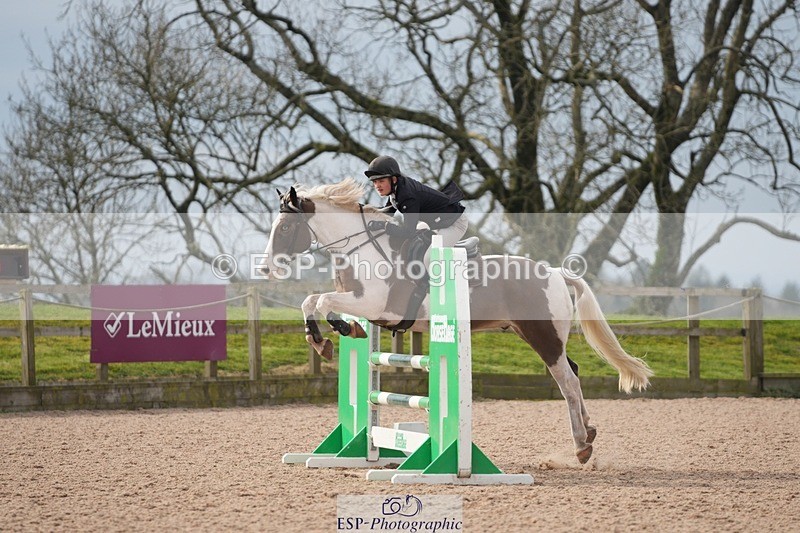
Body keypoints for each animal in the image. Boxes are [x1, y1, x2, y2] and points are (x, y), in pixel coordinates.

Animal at [259, 178, 652, 464]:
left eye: (285, 229)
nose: (266, 270)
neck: (363, 249)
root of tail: (555, 272)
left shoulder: (377, 306)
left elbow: (323, 300)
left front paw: (335, 333)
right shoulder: (359, 302)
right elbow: (312, 301)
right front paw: (325, 338)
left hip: (544, 338)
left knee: (567, 381)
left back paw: (581, 446)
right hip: (538, 334)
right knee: (573, 373)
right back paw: (589, 431)